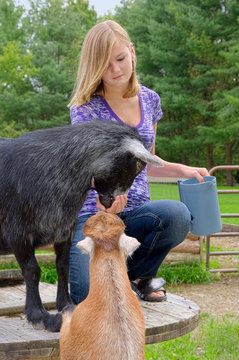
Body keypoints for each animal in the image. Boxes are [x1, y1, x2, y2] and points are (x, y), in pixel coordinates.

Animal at [0, 121, 162, 332]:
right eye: (137, 165)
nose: (112, 202)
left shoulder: (64, 231)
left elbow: (63, 267)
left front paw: (66, 304)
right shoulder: (18, 233)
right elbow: (32, 271)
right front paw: (39, 315)